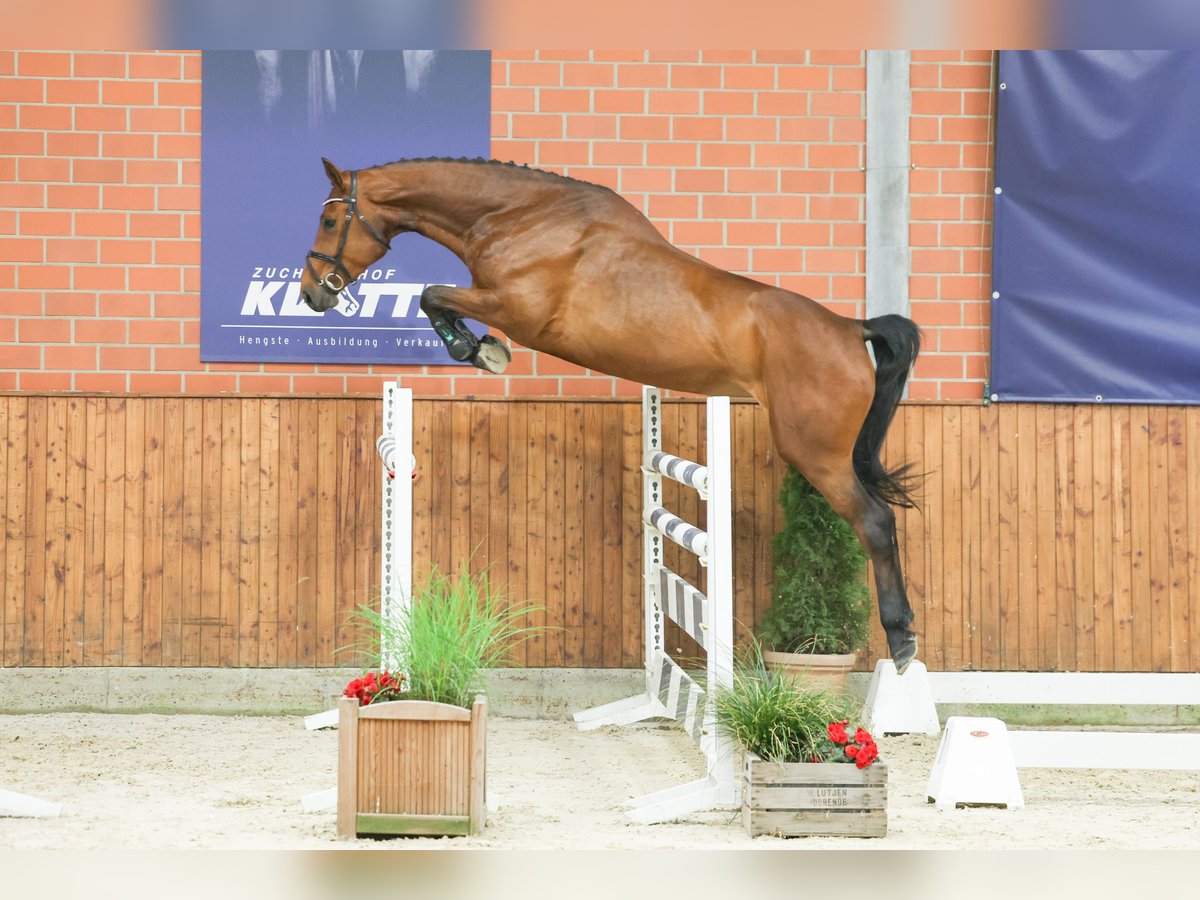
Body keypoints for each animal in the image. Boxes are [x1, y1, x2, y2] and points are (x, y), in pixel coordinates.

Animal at [304, 158, 921, 672]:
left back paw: (902, 639)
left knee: (875, 523)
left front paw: (479, 351)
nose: (313, 293)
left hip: (816, 452)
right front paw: (481, 348)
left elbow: (432, 294)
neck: (519, 219)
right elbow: (435, 295)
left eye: (331, 219)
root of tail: (852, 329)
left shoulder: (516, 309)